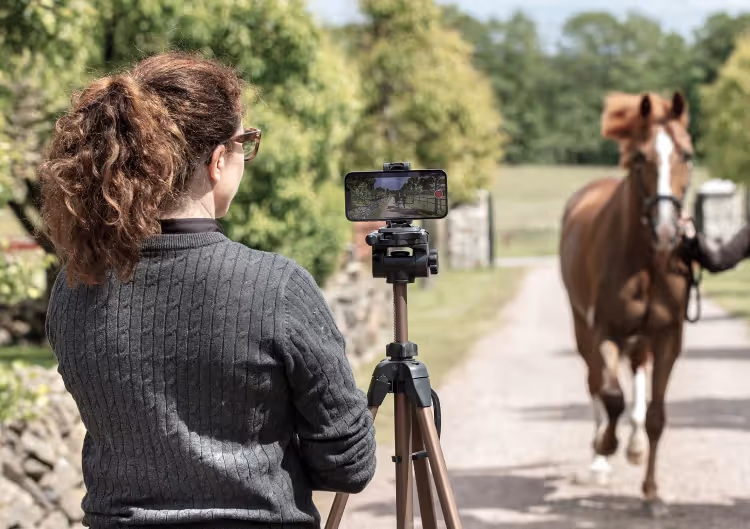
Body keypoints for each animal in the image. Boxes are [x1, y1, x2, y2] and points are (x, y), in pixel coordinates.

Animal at [559, 91, 694, 516]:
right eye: (640, 158)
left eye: (687, 154)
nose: (666, 232)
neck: (645, 260)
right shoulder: (605, 331)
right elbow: (612, 396)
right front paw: (606, 444)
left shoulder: (668, 337)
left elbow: (655, 416)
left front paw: (651, 493)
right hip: (582, 328)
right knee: (595, 385)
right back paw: (599, 457)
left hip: (641, 339)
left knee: (633, 375)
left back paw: (633, 447)